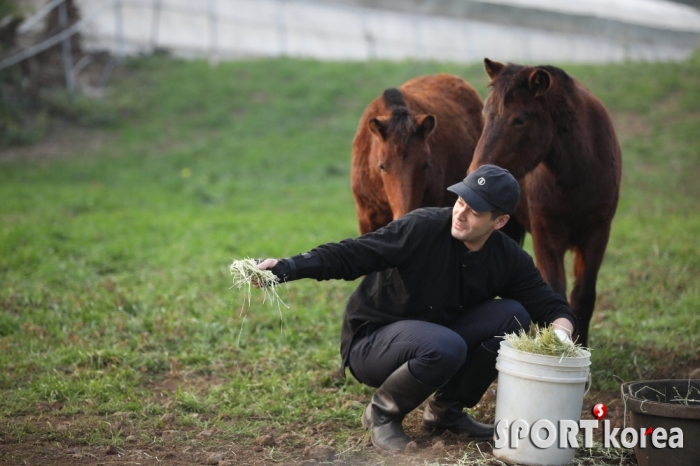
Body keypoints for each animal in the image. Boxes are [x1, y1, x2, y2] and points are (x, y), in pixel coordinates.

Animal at [470, 59, 624, 346]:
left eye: (520, 119)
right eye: (486, 115)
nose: (476, 174)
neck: (578, 175)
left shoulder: (598, 234)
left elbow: (583, 296)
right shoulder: (546, 236)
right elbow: (555, 293)